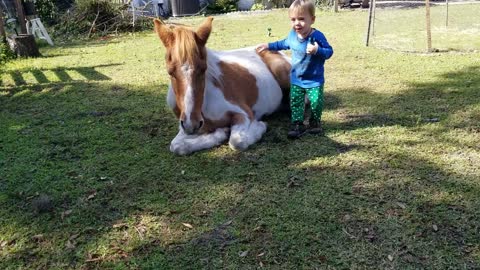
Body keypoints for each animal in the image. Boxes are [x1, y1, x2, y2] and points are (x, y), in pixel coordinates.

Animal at [155, 16, 288, 155]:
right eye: (170, 72)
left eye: (203, 69)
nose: (192, 124)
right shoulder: (184, 126)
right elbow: (176, 146)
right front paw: (221, 132)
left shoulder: (243, 114)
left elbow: (237, 142)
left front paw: (260, 126)